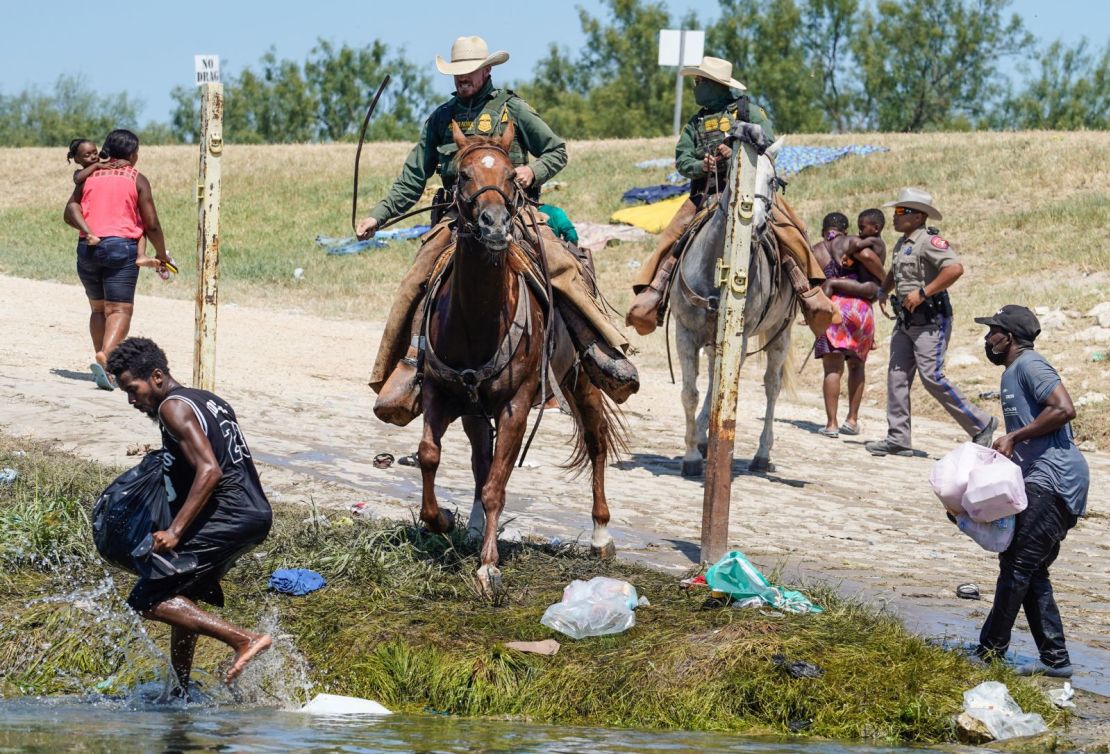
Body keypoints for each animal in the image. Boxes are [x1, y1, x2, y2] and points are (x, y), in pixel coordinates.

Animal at [417, 122, 626, 595]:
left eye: (512, 175)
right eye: (463, 175)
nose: (494, 225)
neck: (476, 320)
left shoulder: (516, 405)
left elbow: (498, 483)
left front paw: (488, 567)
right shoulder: (441, 392)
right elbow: (430, 456)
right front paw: (441, 520)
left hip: (581, 381)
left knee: (596, 441)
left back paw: (601, 534)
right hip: (475, 410)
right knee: (480, 459)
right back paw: (475, 525)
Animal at [666, 138, 799, 475]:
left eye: (773, 181)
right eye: (738, 177)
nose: (758, 226)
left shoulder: (739, 337)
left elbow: (723, 391)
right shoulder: (685, 332)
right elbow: (690, 393)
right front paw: (691, 455)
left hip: (780, 334)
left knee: (771, 386)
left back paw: (761, 454)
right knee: (715, 379)